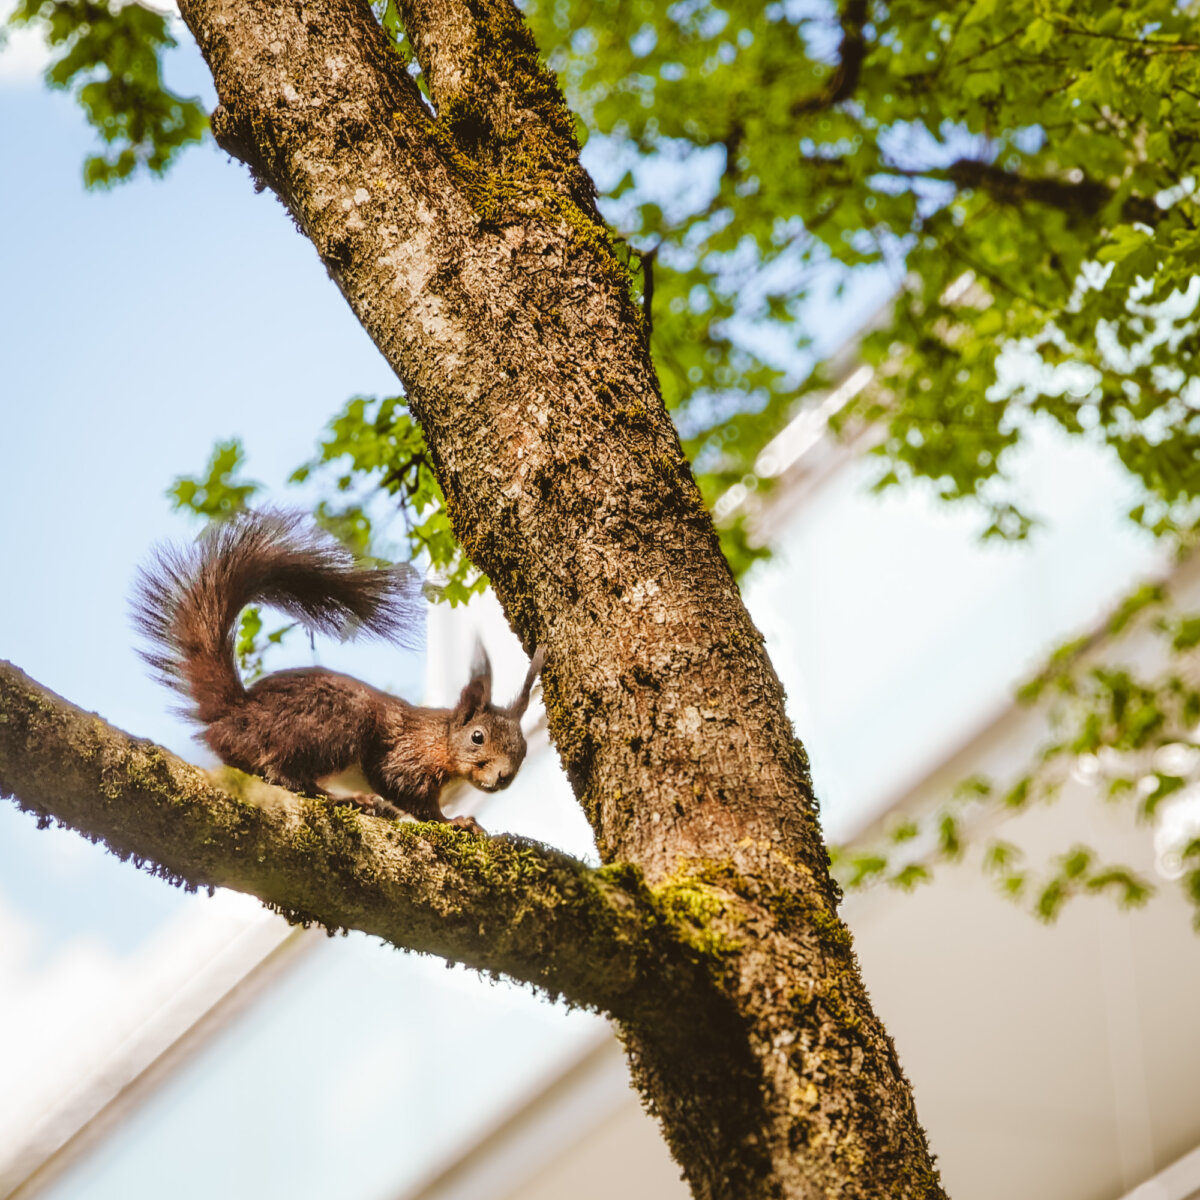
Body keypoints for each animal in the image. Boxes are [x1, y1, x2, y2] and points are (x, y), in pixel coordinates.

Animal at [132, 508, 544, 835]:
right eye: (477, 737)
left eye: (523, 749)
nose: (504, 777)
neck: (437, 740)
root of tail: (234, 715)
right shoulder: (404, 758)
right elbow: (405, 791)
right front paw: (454, 821)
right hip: (336, 724)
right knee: (283, 773)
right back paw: (345, 798)